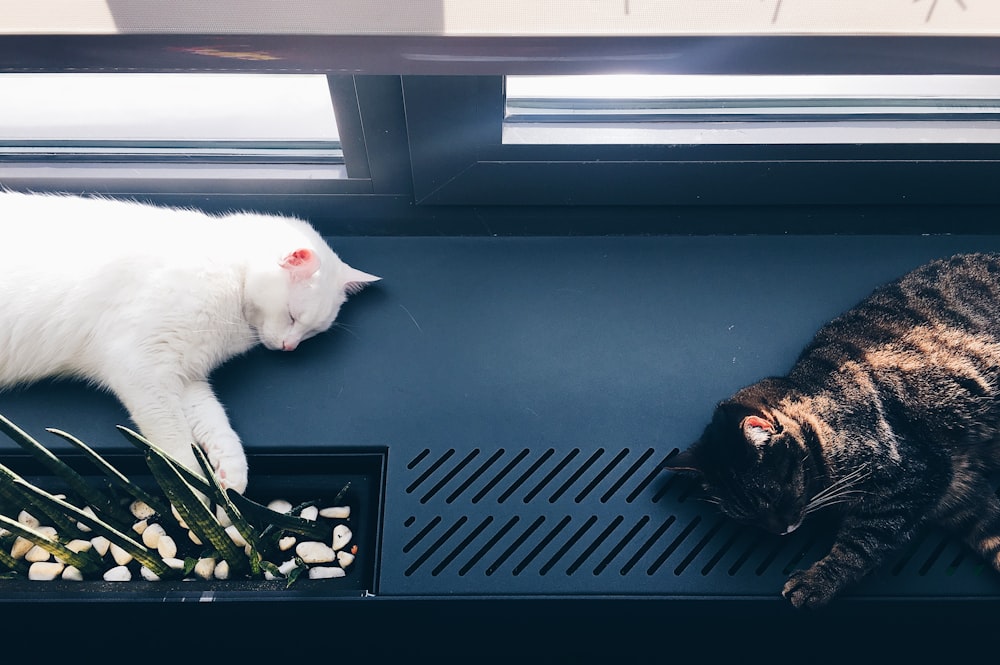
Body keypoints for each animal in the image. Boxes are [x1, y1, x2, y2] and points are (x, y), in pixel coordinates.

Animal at [0, 192, 380, 492]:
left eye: (311, 331)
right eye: (292, 317)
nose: (290, 347)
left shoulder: (186, 377)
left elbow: (215, 421)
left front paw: (230, 474)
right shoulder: (141, 369)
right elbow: (177, 442)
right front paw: (194, 490)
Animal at [664, 253, 1000, 608]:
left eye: (773, 495)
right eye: (746, 517)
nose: (780, 530)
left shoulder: (917, 475)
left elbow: (862, 541)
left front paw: (818, 581)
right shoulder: (961, 496)